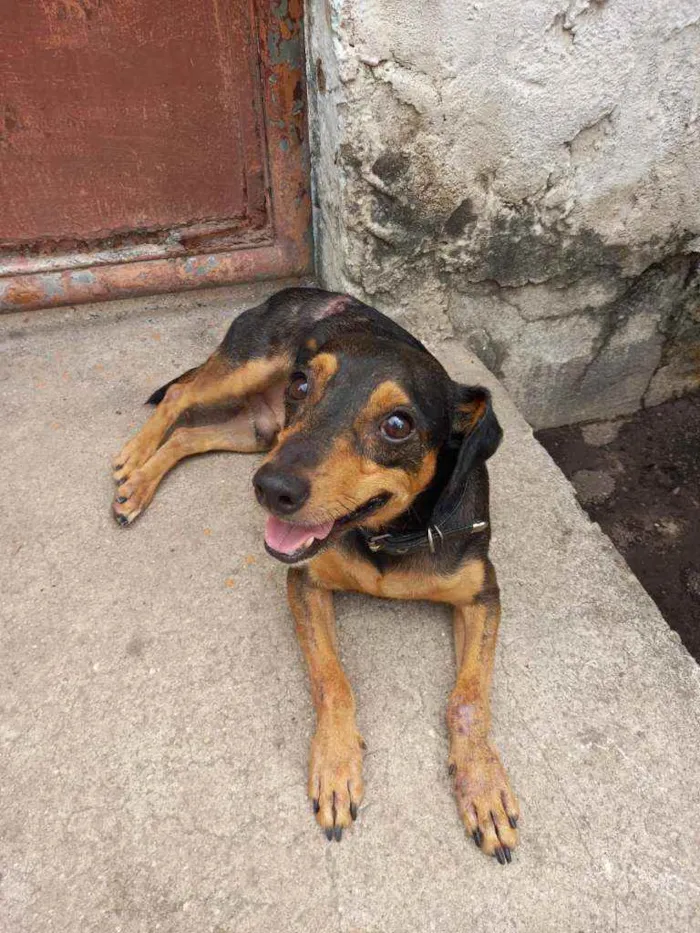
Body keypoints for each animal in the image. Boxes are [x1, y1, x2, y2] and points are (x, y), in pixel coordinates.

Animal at [112, 288, 520, 864]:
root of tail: (307, 290)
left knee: (190, 434)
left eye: (398, 425)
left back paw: (139, 482)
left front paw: (483, 785)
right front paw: (336, 765)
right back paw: (134, 460)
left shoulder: (482, 596)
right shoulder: (304, 583)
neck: (388, 536)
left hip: (258, 434)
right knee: (179, 396)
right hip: (249, 378)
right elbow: (332, 680)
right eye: (303, 385)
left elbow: (467, 699)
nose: (270, 488)